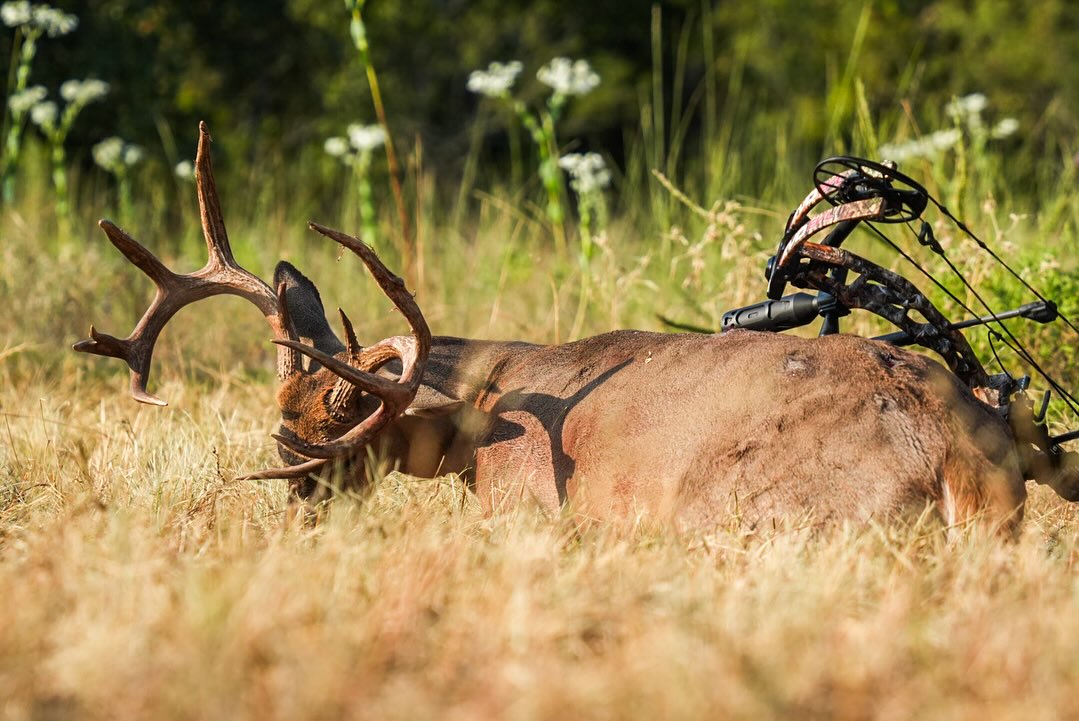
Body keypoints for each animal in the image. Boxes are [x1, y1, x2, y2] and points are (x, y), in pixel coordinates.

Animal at [75, 124, 1079, 534]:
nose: (296, 499)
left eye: (336, 408)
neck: (482, 411)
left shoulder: (521, 502)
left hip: (735, 505)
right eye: (277, 413)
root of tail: (962, 455)